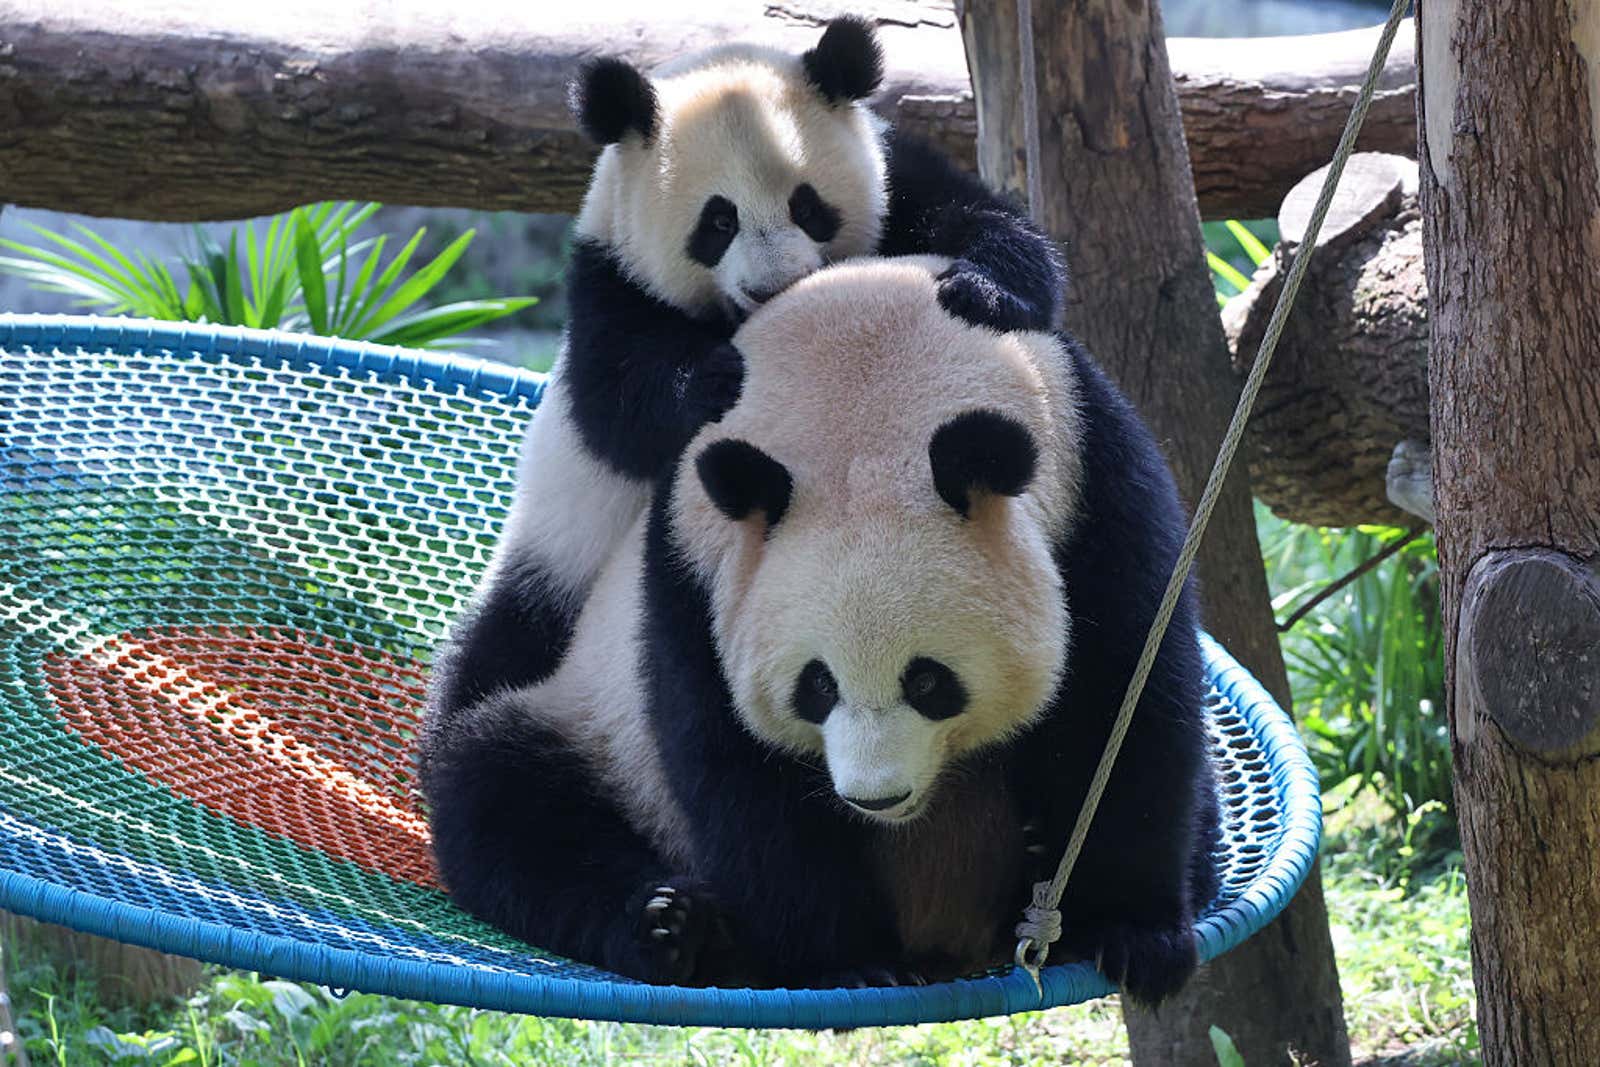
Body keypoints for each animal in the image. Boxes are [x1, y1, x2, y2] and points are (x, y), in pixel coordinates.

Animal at [420, 257, 1219, 1005]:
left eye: (928, 681)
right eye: (817, 686)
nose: (877, 798)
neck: (866, 402)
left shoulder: (1090, 474)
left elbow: (1125, 704)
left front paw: (1134, 933)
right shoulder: (697, 566)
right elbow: (737, 767)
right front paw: (848, 962)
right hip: (593, 732)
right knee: (509, 797)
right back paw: (675, 926)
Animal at [428, 16, 1064, 724]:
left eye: (807, 206)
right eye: (718, 220)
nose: (772, 286)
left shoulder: (900, 181)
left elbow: (984, 222)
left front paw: (984, 288)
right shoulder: (610, 278)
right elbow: (615, 403)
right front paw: (713, 380)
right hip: (554, 565)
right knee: (498, 651)